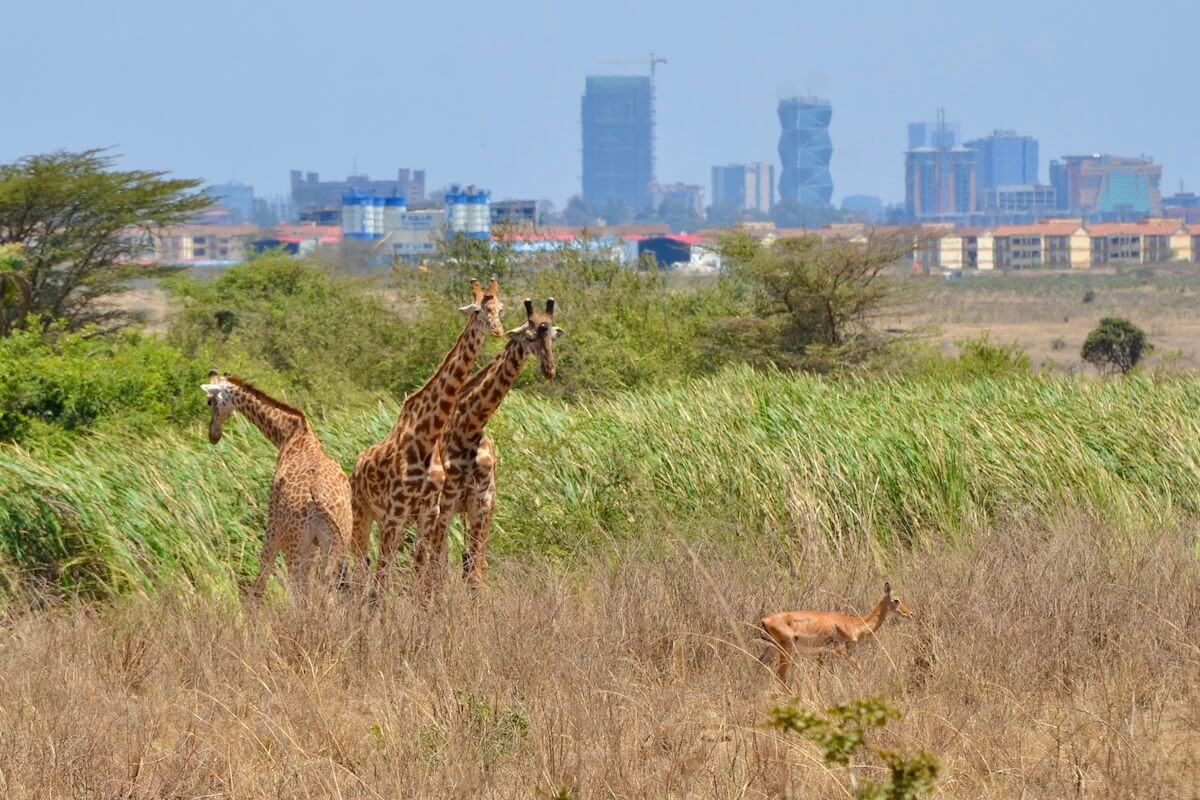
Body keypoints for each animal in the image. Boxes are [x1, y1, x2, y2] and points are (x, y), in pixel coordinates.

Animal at [201, 370, 353, 608]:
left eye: (210, 401)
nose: (213, 434)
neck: (289, 434)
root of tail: (319, 499)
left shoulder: (272, 522)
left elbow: (264, 567)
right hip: (337, 541)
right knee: (326, 592)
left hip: (296, 542)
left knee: (300, 591)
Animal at [350, 277, 505, 598]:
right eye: (478, 311)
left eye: (500, 309)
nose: (497, 330)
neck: (426, 434)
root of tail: (355, 466)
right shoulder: (396, 513)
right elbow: (386, 582)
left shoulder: (429, 513)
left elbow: (421, 576)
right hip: (362, 512)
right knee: (362, 572)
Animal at [417, 297, 564, 593]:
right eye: (529, 335)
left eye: (551, 334)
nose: (549, 369)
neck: (470, 429)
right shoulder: (447, 503)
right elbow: (440, 573)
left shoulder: (483, 503)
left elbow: (475, 574)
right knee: (429, 565)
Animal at [758, 582, 913, 683]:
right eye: (896, 600)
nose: (910, 614)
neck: (855, 624)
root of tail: (765, 620)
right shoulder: (840, 650)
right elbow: (859, 667)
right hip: (786, 650)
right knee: (780, 676)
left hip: (771, 649)